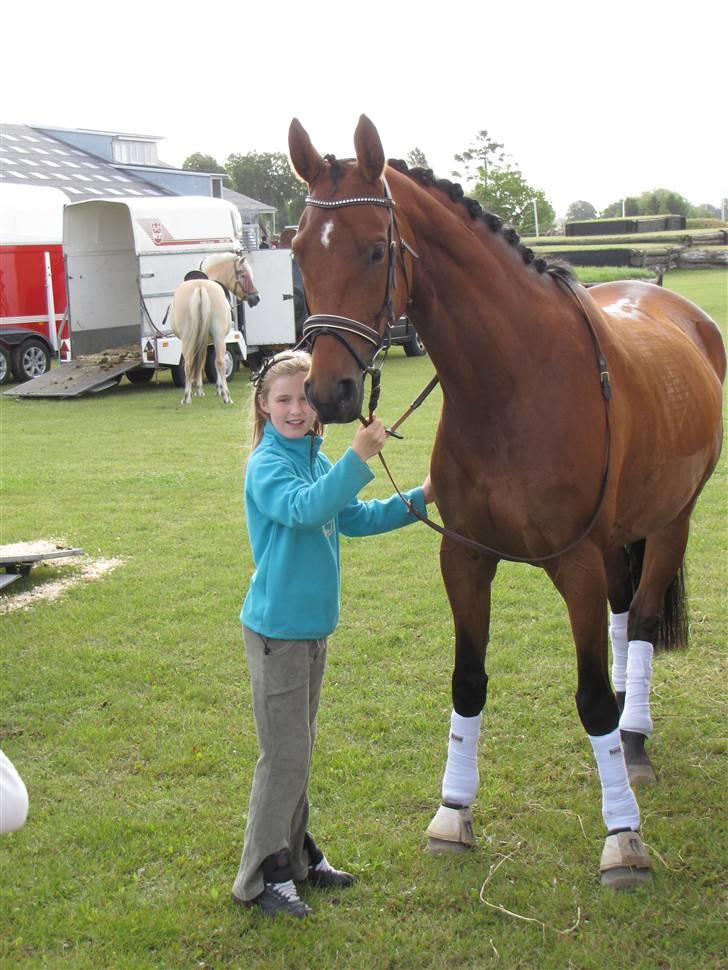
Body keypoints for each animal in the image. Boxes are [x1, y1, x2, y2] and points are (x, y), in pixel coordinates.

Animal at [169, 253, 260, 404]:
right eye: (243, 274)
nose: (256, 298)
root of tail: (200, 287)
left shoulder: (203, 341)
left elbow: (200, 361)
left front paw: (199, 390)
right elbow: (211, 362)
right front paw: (218, 389)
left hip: (188, 338)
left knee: (189, 363)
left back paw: (187, 397)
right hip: (217, 337)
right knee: (220, 362)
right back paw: (226, 396)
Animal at [288, 113, 724, 884]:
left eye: (376, 250)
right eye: (300, 251)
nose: (327, 392)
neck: (513, 383)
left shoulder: (576, 562)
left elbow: (589, 698)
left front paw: (623, 838)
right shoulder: (466, 558)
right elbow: (468, 681)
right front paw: (453, 813)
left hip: (672, 522)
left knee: (640, 624)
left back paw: (634, 741)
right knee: (621, 620)